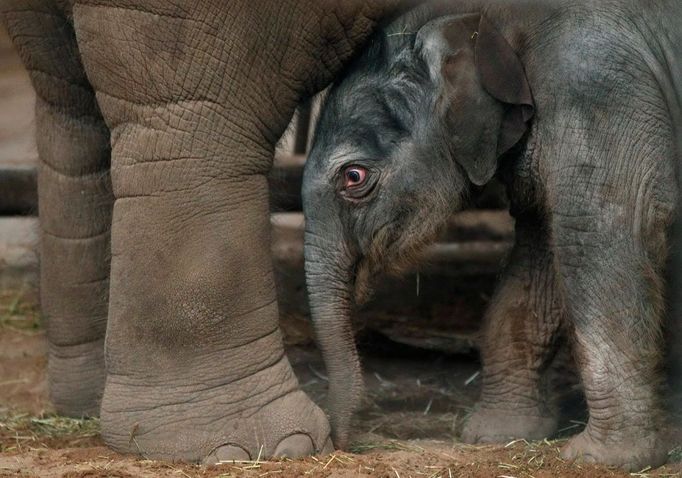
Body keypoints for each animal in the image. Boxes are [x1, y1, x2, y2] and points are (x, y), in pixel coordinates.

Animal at [302, 0, 680, 470]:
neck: (487, 17)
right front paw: (496, 434)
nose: (339, 443)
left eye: (353, 177)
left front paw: (604, 460)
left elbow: (598, 231)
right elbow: (538, 251)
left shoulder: (599, 91)